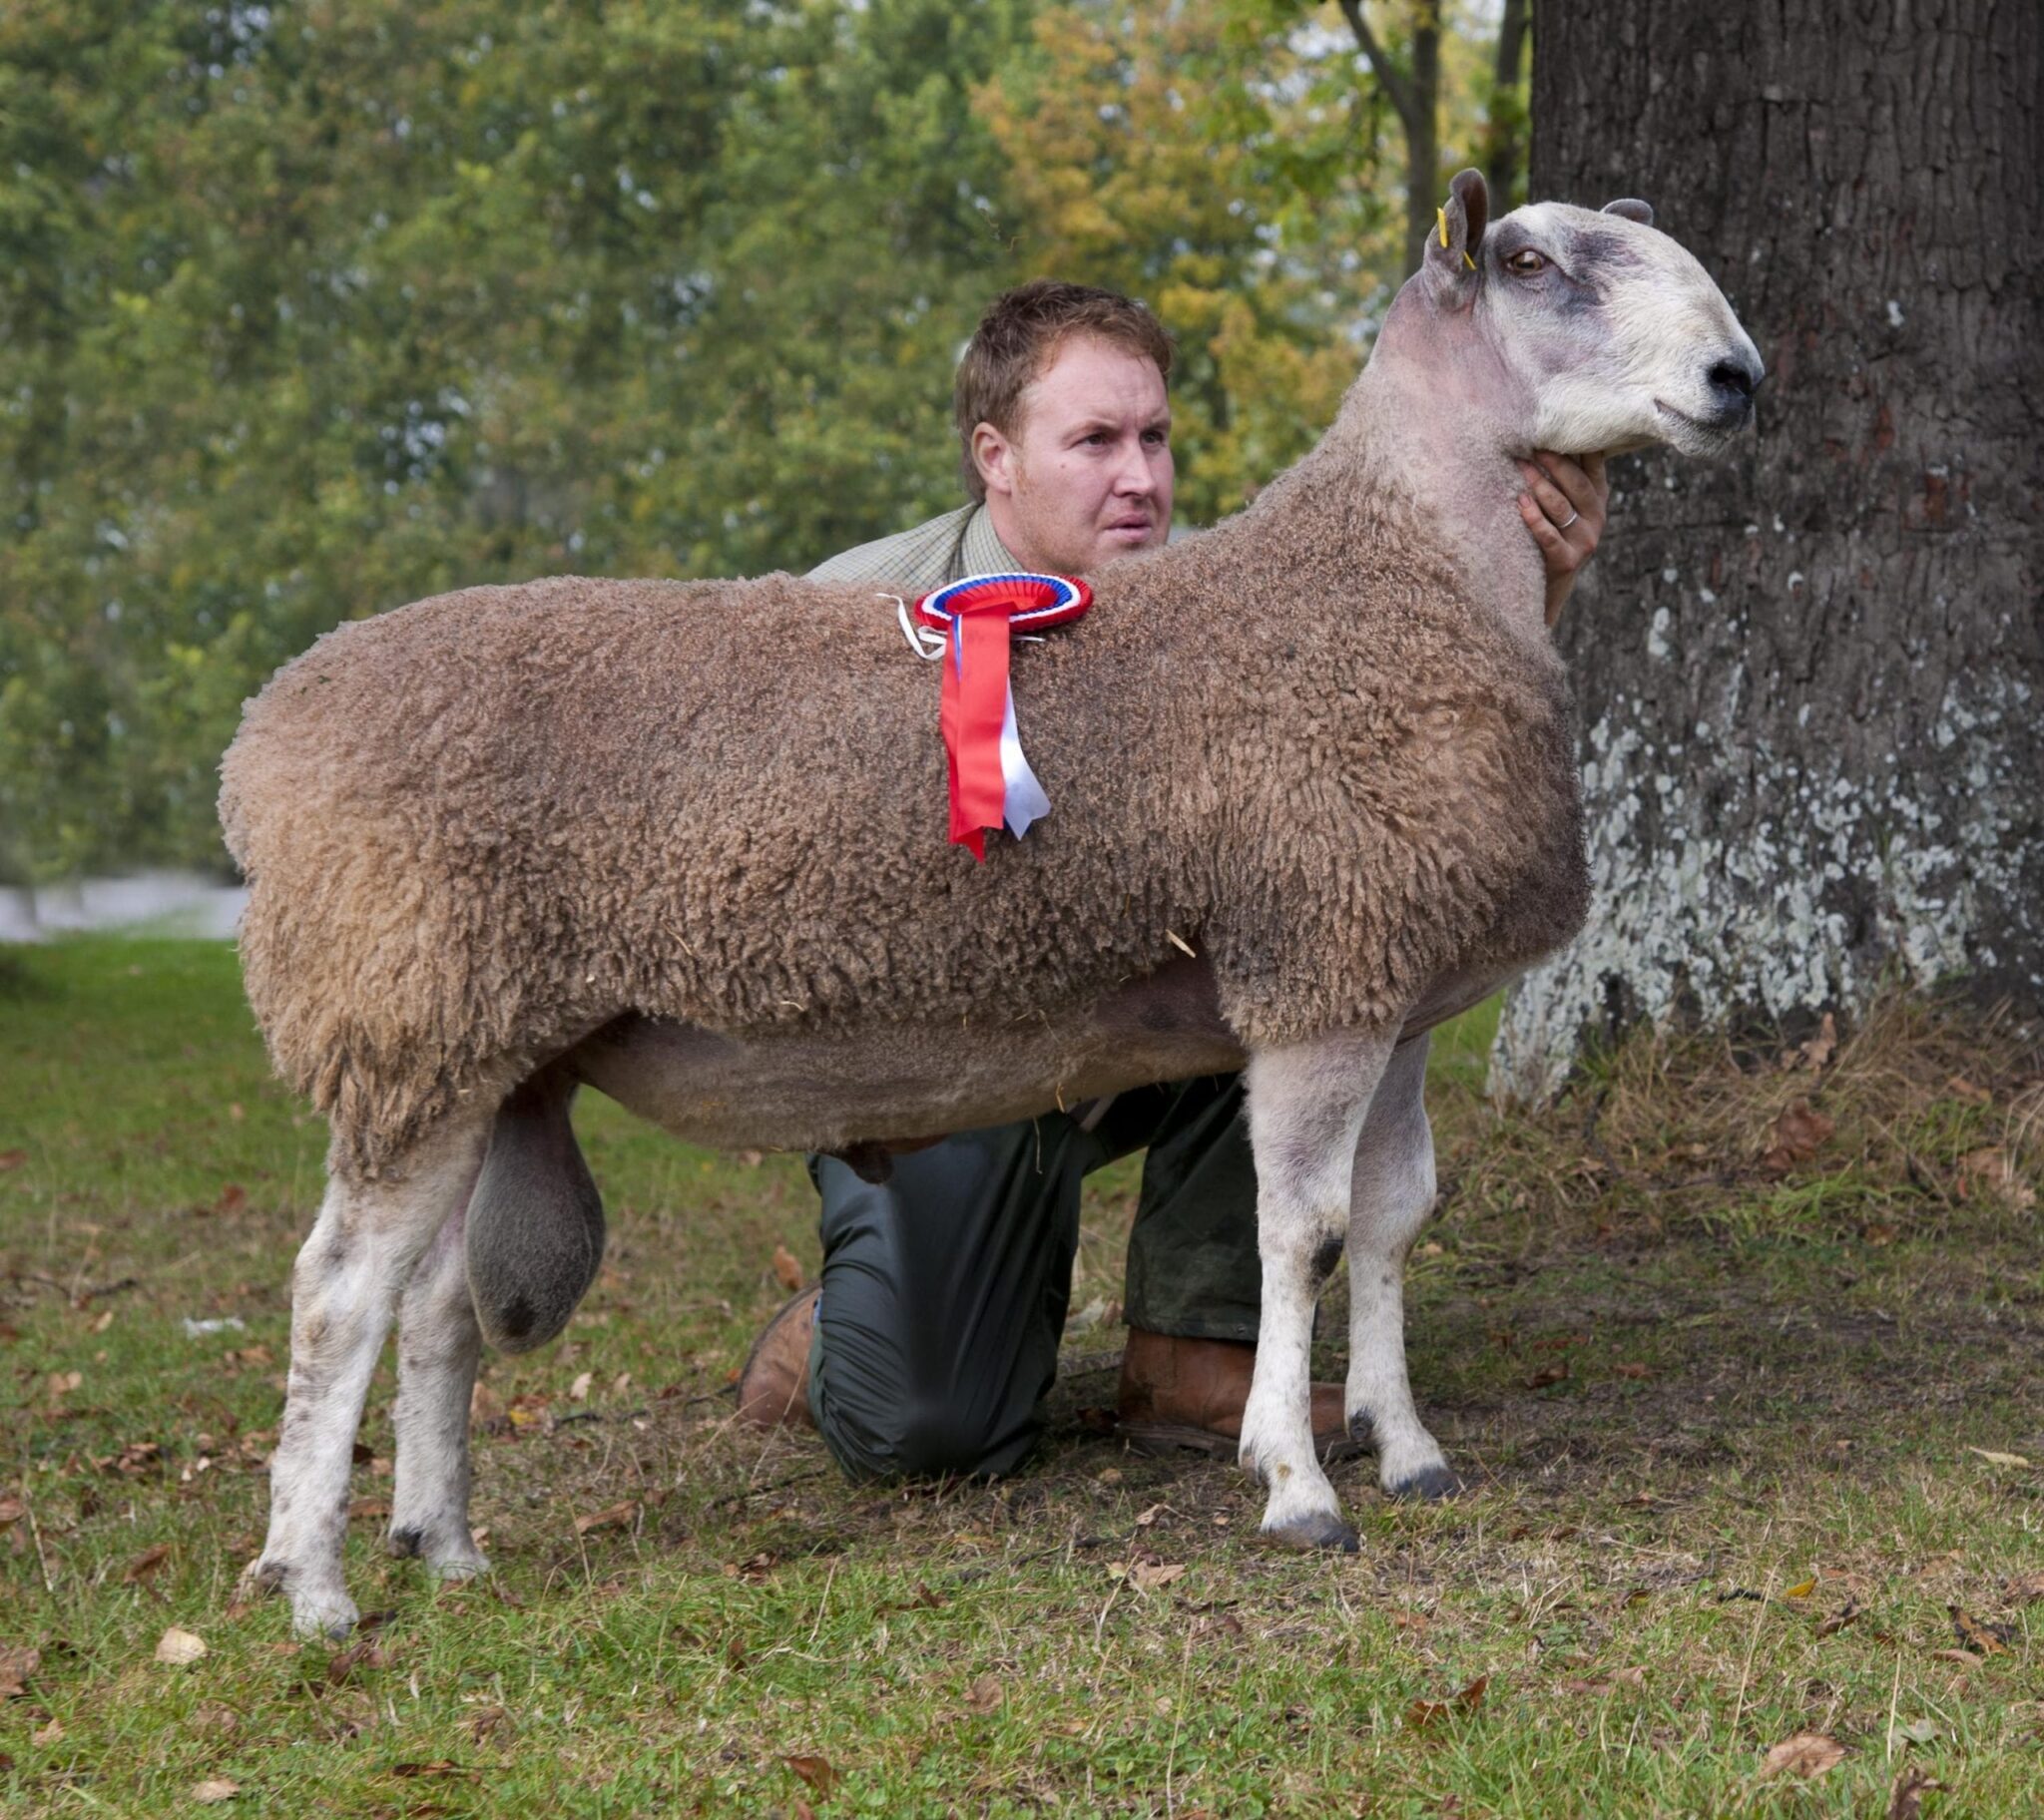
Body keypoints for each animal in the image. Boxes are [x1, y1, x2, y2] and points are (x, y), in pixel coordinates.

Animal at [220, 175, 1758, 1633]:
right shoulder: (1312, 973)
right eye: (1529, 263)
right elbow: (1302, 1233)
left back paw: (445, 1544)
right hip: (402, 1019)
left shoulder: (1390, 984)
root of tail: (265, 736)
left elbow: (1386, 1224)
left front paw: (1410, 1448)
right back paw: (313, 1585)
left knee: (433, 1308)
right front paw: (1298, 1487)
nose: (1737, 376)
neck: (1403, 566)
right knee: (337, 1297)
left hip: (487, 1050)